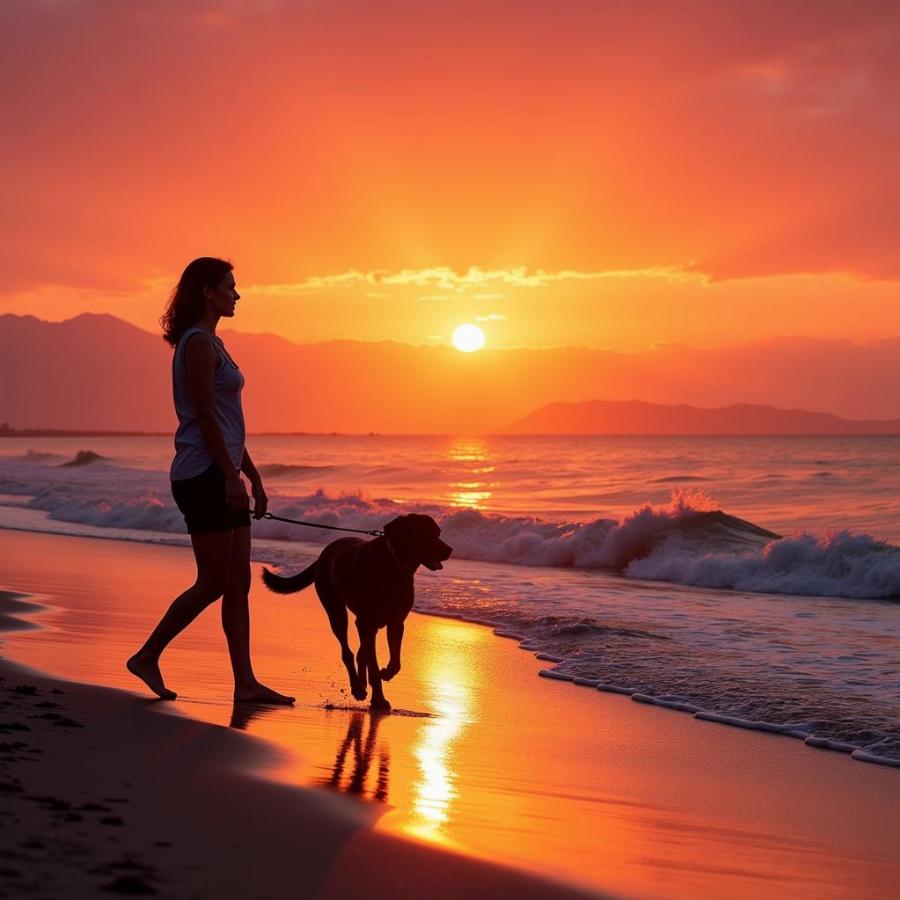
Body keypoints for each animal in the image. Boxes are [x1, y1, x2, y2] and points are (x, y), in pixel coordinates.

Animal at [264, 512, 454, 712]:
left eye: (438, 532)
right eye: (424, 533)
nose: (449, 550)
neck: (394, 566)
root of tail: (326, 551)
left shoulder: (396, 622)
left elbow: (395, 662)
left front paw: (386, 673)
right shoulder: (367, 621)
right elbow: (372, 662)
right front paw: (378, 699)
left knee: (362, 650)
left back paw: (363, 682)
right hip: (336, 610)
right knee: (347, 650)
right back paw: (357, 687)